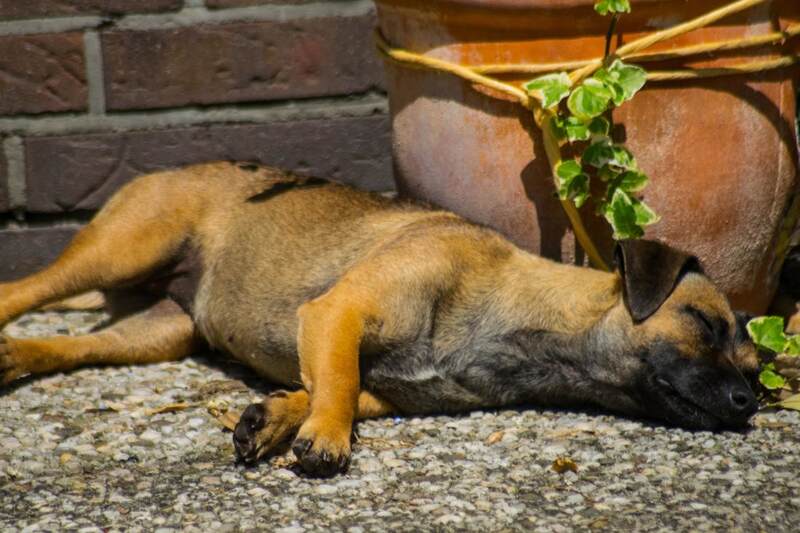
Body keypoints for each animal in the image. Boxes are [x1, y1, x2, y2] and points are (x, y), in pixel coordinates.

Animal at [0, 161, 760, 474]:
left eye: (755, 367)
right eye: (704, 323)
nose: (750, 400)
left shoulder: (387, 389)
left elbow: (327, 387)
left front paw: (276, 417)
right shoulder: (338, 311)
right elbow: (335, 384)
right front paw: (324, 439)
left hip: (159, 330)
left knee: (72, 345)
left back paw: (18, 356)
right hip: (124, 247)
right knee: (26, 286)